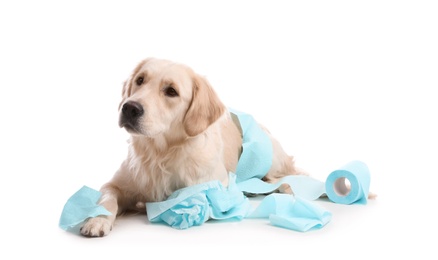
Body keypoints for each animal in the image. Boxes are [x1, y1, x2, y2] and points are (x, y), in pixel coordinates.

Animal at [80, 58, 310, 237]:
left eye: (171, 91)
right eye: (140, 80)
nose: (129, 108)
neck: (160, 152)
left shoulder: (216, 188)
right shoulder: (114, 184)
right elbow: (107, 199)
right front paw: (96, 220)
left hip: (270, 156)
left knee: (288, 174)